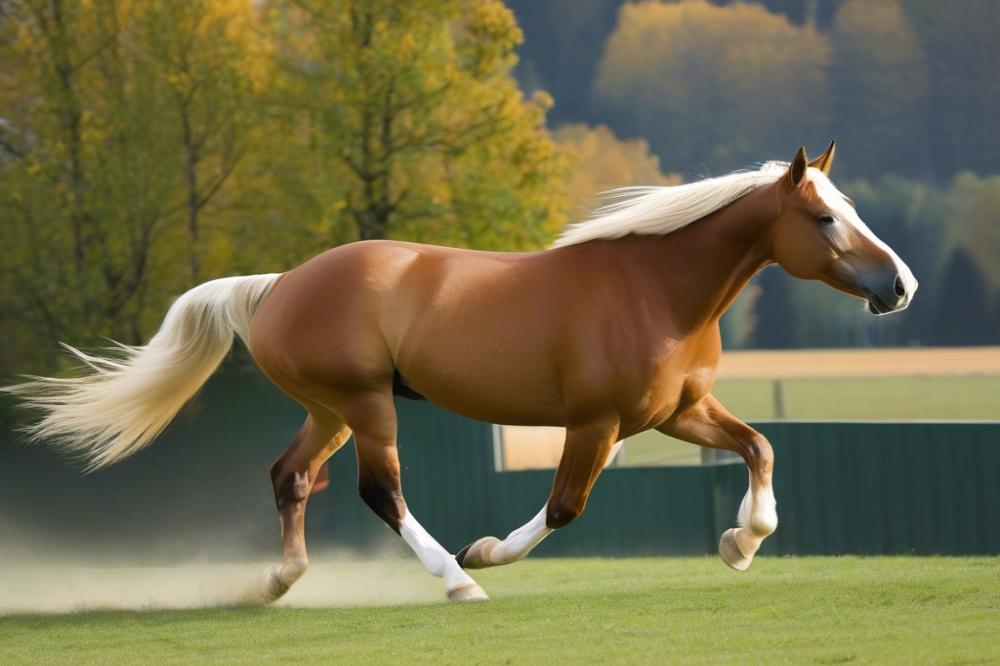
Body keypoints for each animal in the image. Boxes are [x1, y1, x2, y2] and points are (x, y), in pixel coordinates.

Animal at [5, 143, 916, 600]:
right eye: (823, 219)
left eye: (850, 209)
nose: (900, 286)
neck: (655, 290)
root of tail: (278, 284)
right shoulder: (596, 423)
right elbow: (565, 506)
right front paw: (483, 555)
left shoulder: (677, 412)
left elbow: (760, 446)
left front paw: (740, 544)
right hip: (366, 406)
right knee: (380, 492)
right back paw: (451, 580)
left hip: (330, 410)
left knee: (290, 476)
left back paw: (278, 579)